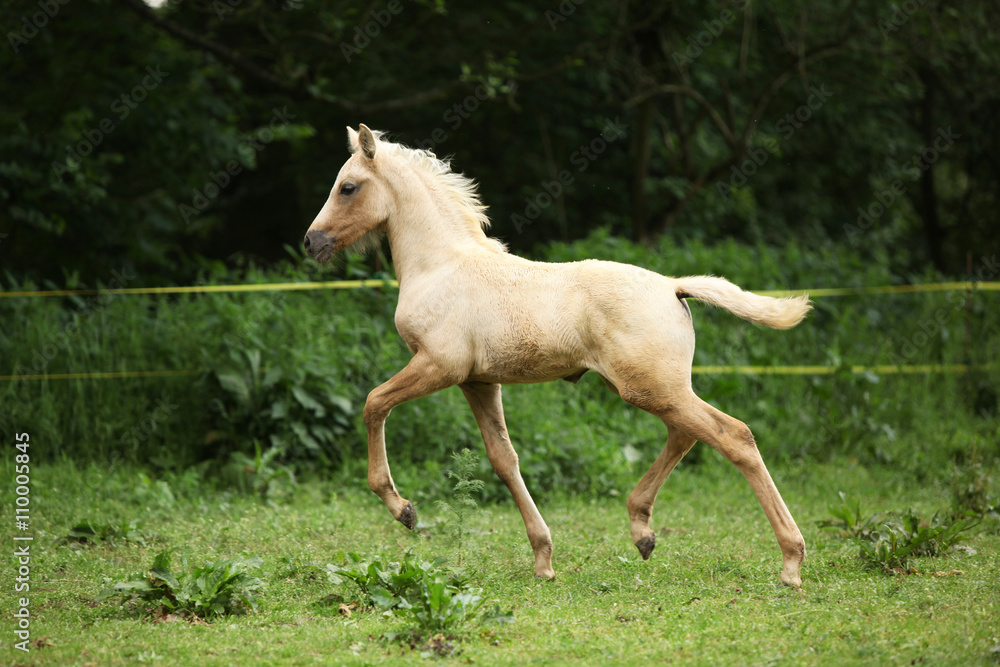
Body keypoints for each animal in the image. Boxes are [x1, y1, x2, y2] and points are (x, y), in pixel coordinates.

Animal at [304, 124, 811, 587]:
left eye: (348, 187)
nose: (311, 241)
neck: (441, 265)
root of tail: (673, 286)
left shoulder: (438, 366)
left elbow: (374, 403)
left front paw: (404, 510)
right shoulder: (478, 381)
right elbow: (503, 459)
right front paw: (543, 559)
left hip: (648, 387)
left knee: (734, 436)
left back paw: (790, 562)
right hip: (657, 388)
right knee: (687, 434)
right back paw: (643, 531)